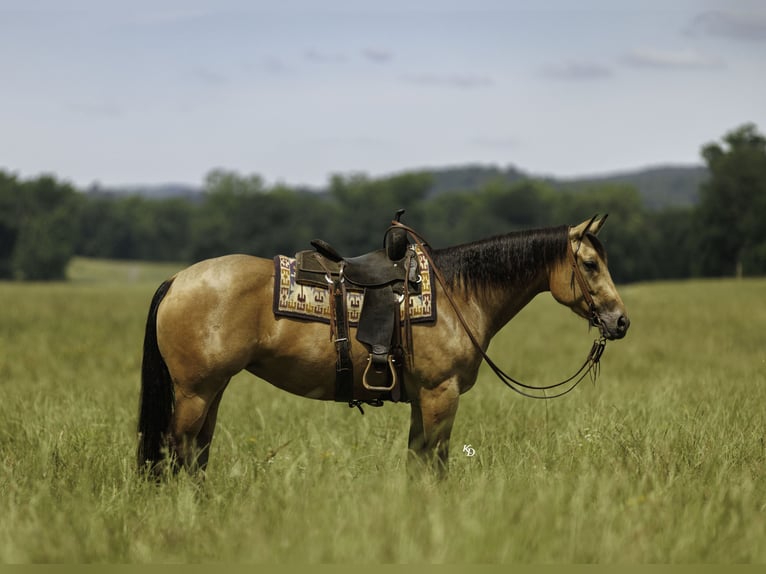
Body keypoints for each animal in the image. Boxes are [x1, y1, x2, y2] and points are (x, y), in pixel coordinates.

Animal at [137, 214, 629, 477]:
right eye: (590, 263)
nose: (620, 321)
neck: (458, 293)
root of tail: (177, 279)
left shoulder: (421, 398)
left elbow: (417, 461)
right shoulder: (440, 394)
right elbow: (437, 463)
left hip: (212, 389)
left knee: (196, 453)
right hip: (195, 392)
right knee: (176, 450)